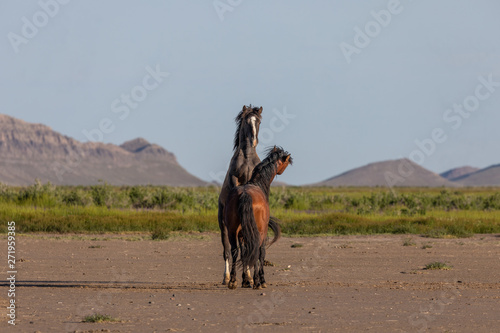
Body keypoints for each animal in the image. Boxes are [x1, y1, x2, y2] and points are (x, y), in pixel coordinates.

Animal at [220, 105, 266, 284]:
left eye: (258, 121)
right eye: (247, 121)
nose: (254, 141)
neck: (247, 157)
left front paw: (249, 277)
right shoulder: (234, 177)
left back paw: (248, 277)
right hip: (224, 226)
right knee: (227, 249)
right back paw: (227, 278)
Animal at [224, 145, 292, 288]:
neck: (257, 184)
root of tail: (244, 194)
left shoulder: (241, 234)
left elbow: (244, 252)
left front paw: (245, 280)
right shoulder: (263, 232)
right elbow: (261, 253)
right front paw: (260, 280)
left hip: (232, 231)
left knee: (235, 251)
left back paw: (232, 281)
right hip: (258, 231)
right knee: (256, 250)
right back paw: (256, 281)